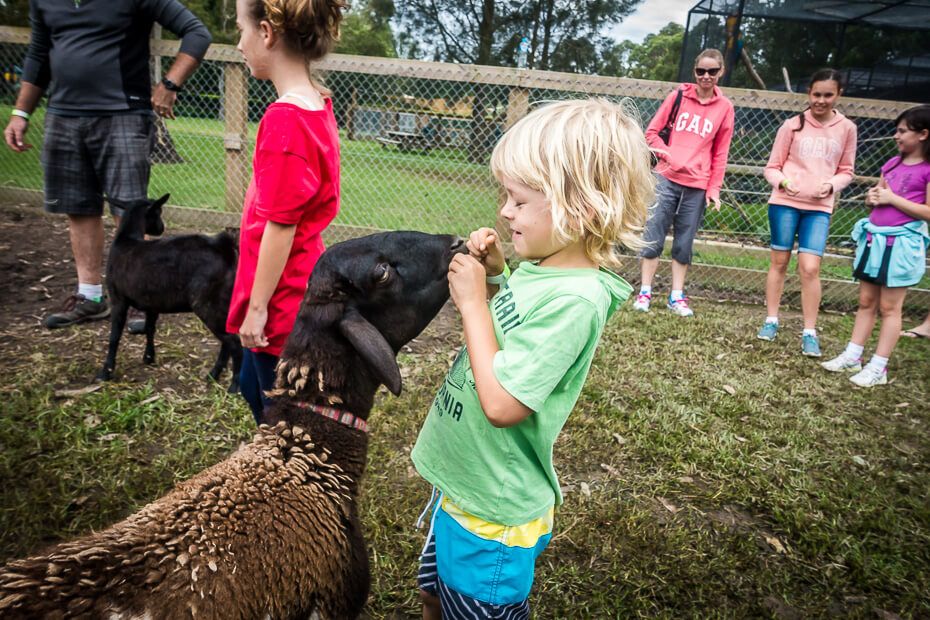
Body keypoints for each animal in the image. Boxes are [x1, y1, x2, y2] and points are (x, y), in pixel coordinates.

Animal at [97, 194, 242, 393]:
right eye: (158, 212)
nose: (161, 228)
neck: (127, 239)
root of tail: (223, 247)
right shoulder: (151, 303)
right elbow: (150, 328)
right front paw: (149, 357)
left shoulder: (118, 298)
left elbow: (114, 337)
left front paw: (106, 371)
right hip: (223, 302)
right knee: (228, 341)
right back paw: (214, 374)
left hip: (208, 303)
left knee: (234, 343)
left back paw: (234, 386)